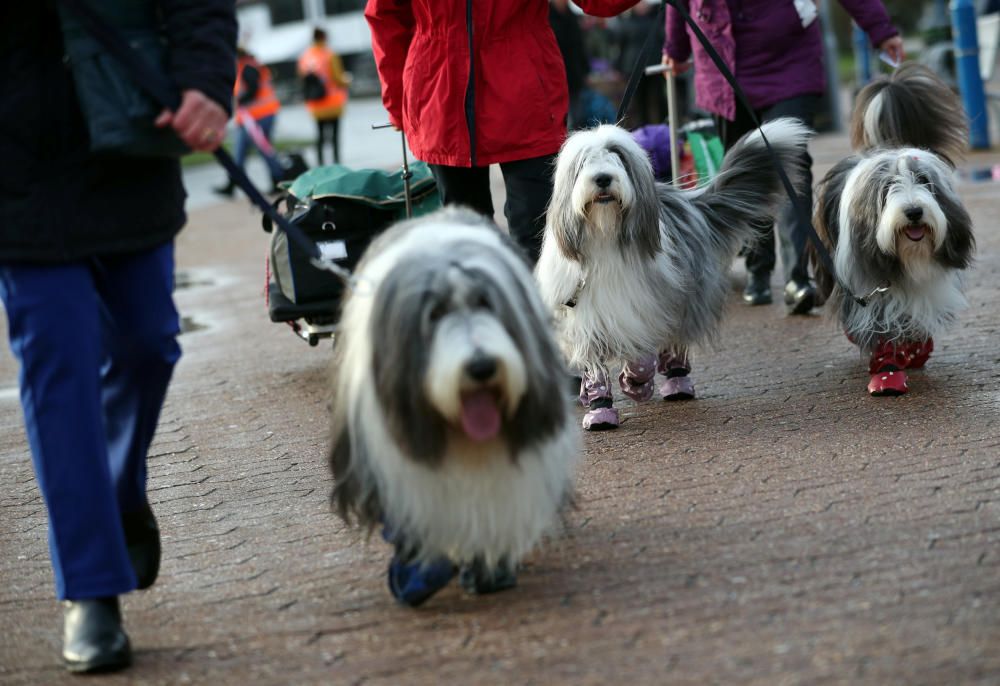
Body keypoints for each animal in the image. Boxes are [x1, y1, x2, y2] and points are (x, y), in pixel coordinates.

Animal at [536, 119, 808, 430]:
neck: (605, 236)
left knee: (674, 344)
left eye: (618, 157)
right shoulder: (585, 318)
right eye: (584, 163)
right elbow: (596, 368)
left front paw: (635, 384)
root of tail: (688, 201)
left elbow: (642, 360)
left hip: (685, 303)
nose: (603, 178)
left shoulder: (644, 307)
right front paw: (599, 411)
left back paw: (677, 384)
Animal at [816, 66, 972, 398]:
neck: (909, 258)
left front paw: (914, 351)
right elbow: (882, 325)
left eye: (924, 180)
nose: (913, 211)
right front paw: (887, 371)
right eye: (888, 188)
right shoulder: (870, 289)